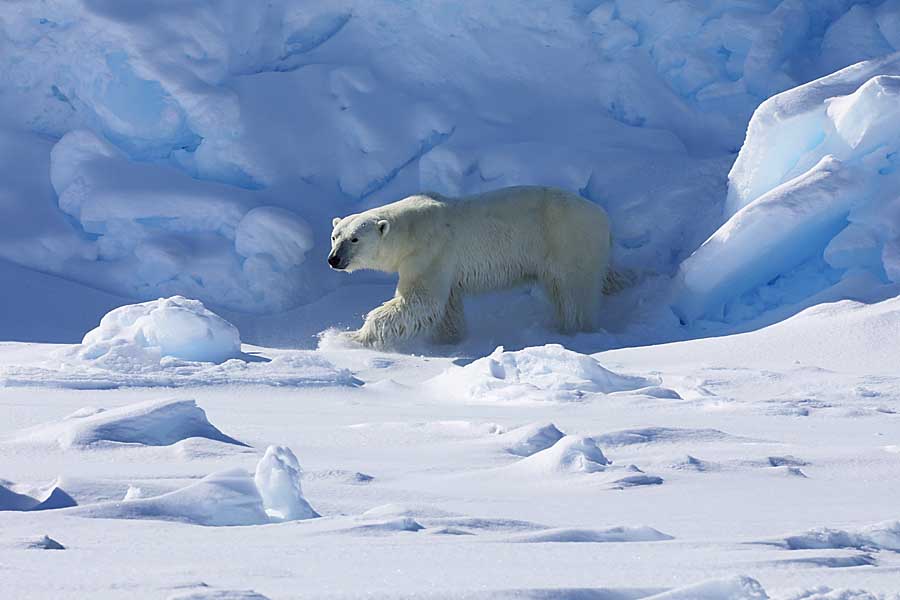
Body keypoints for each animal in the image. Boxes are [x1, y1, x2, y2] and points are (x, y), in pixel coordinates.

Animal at [328, 185, 612, 350]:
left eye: (354, 239)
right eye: (334, 236)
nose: (334, 259)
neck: (410, 230)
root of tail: (601, 213)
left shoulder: (430, 251)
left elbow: (420, 300)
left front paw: (348, 338)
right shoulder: (442, 264)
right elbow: (446, 307)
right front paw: (447, 340)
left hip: (567, 240)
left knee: (574, 293)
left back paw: (574, 329)